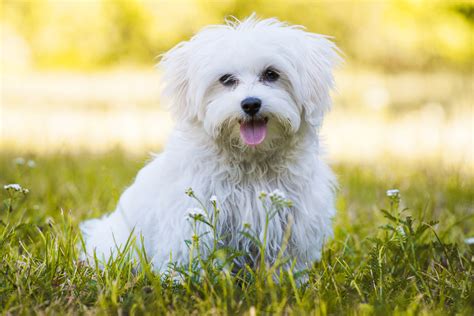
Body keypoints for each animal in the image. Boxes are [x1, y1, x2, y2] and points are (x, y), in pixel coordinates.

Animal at [80, 15, 340, 272]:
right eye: (226, 79)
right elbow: (188, 256)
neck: (251, 160)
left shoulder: (294, 221)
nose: (251, 103)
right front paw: (181, 279)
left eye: (271, 74)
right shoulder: (191, 215)